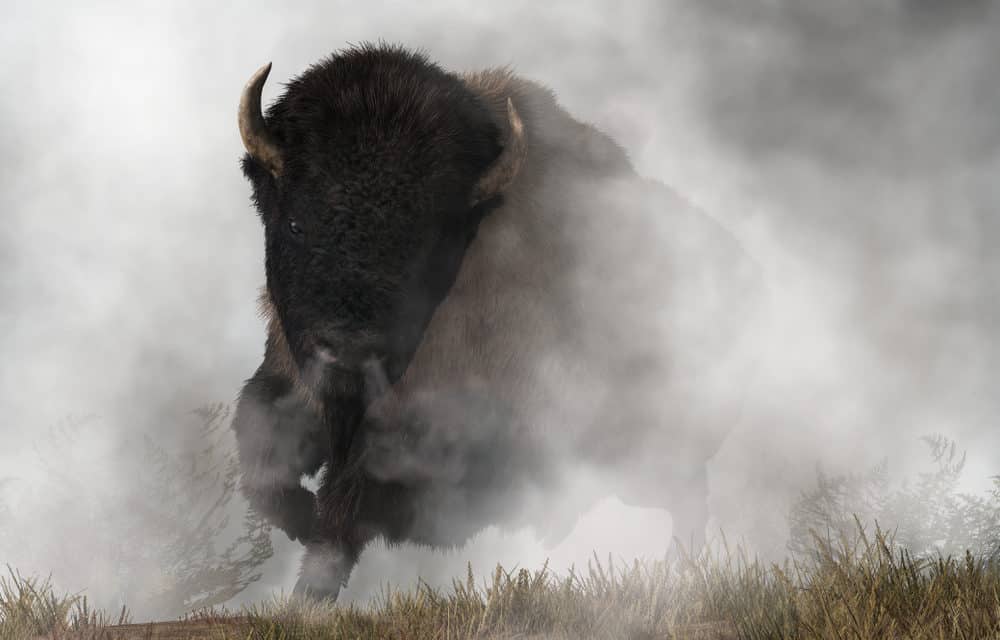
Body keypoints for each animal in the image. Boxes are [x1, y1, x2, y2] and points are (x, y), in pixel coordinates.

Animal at [231, 43, 764, 600]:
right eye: (296, 223)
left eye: (428, 246)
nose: (349, 354)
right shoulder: (286, 384)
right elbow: (263, 461)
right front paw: (299, 520)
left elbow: (345, 512)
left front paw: (308, 591)